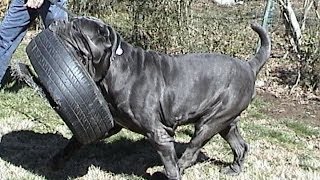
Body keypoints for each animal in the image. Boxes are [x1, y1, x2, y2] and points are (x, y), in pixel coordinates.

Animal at [48, 17, 272, 180]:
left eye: (75, 27)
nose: (58, 21)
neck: (113, 68)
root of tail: (249, 66)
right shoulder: (109, 123)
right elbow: (76, 140)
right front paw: (57, 160)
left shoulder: (158, 133)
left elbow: (170, 163)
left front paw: (172, 173)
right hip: (226, 122)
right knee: (240, 145)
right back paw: (234, 170)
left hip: (210, 122)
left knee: (190, 152)